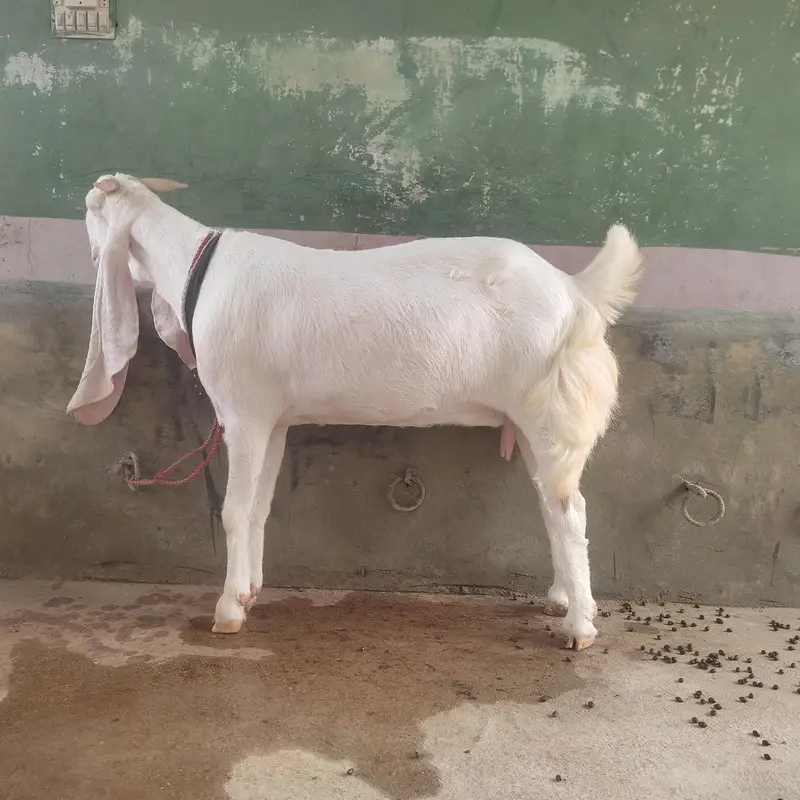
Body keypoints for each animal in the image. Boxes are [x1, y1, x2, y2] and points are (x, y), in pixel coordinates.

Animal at [67, 173, 642, 650]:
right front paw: (251, 590)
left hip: (548, 411)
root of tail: (575, 291)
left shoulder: (244, 411)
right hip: (528, 418)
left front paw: (228, 610)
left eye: (91, 210)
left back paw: (579, 626)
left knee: (571, 510)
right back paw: (563, 597)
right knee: (551, 503)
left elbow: (232, 511)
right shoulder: (273, 418)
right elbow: (258, 508)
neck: (197, 268)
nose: (90, 256)